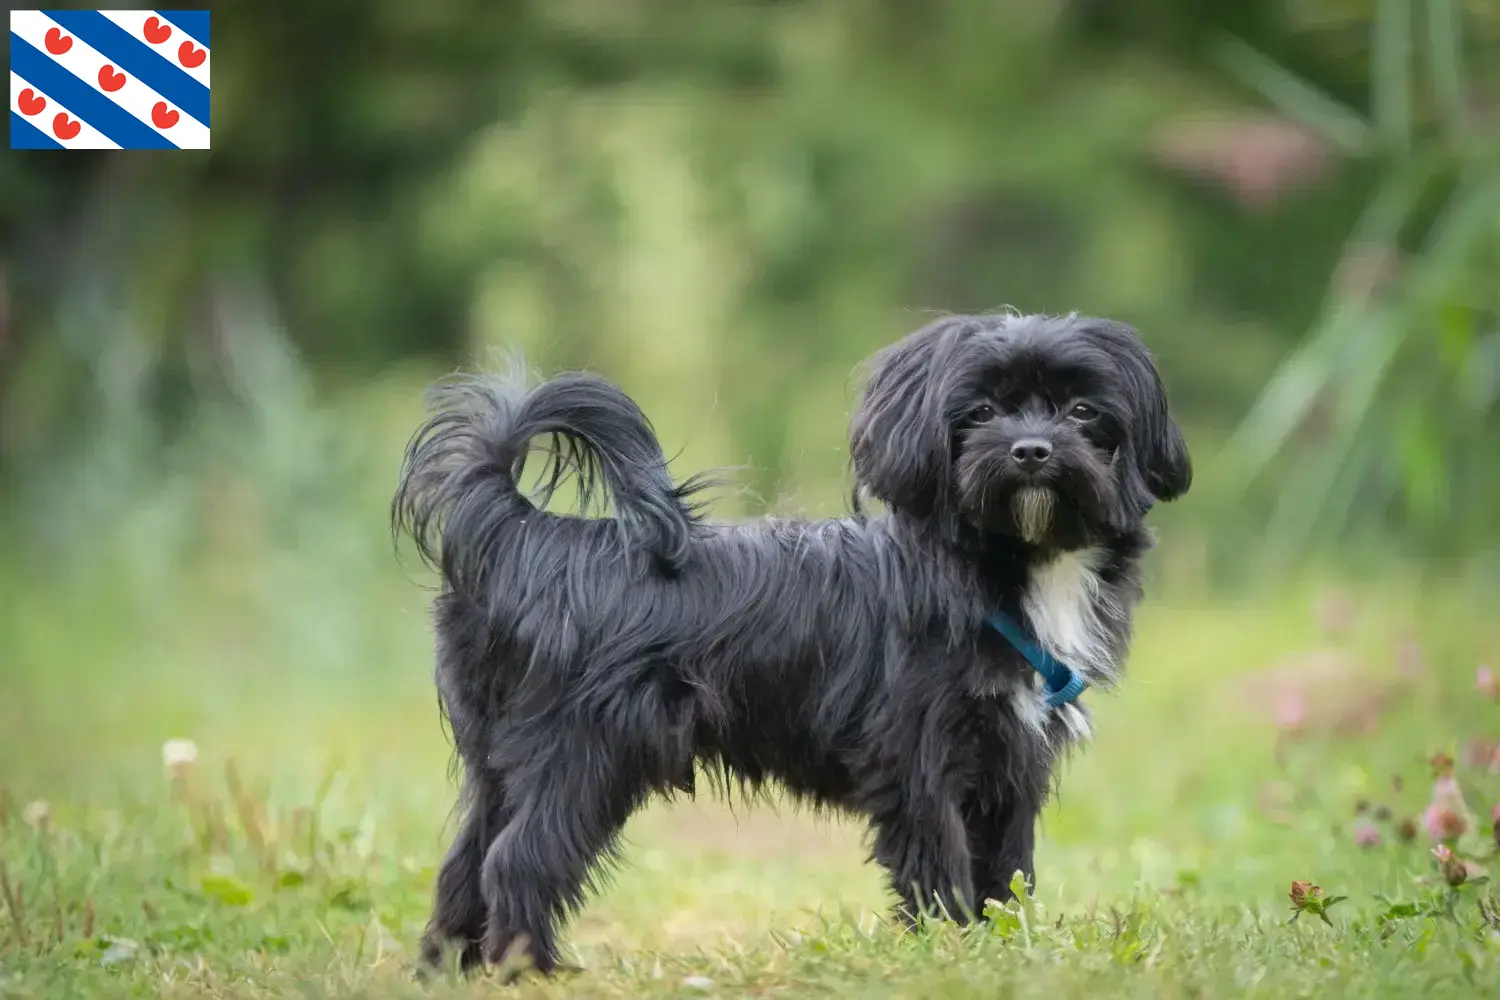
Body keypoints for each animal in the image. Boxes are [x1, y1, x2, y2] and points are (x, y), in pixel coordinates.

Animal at [393, 310, 1188, 971]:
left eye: (1083, 411)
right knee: (518, 861)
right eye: (982, 411)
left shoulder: (1009, 762)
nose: (1031, 450)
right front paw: (949, 951)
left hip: (504, 760)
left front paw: (1003, 948)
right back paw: (531, 969)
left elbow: (1007, 870)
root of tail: (526, 533)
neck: (1002, 568)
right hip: (584, 751)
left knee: (466, 864)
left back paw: (449, 968)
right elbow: (940, 864)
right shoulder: (918, 758)